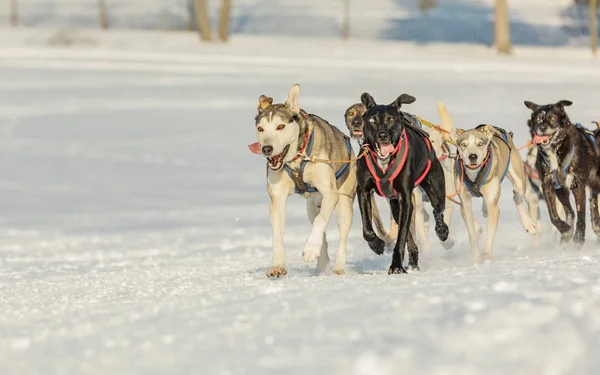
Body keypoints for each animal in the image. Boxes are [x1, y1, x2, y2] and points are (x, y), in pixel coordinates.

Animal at [248, 83, 356, 278]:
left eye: (280, 126)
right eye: (260, 129)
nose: (266, 149)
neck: (296, 160)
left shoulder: (330, 193)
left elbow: (322, 220)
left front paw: (311, 250)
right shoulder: (277, 200)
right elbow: (277, 236)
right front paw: (277, 266)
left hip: (344, 203)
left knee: (340, 238)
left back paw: (337, 267)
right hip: (312, 207)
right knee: (322, 233)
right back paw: (321, 264)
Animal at [524, 100, 600, 248]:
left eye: (553, 118)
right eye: (538, 118)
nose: (542, 127)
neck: (556, 150)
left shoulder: (578, 186)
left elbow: (581, 214)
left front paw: (579, 238)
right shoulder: (548, 185)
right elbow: (553, 216)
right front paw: (566, 230)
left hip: (594, 181)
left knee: (592, 199)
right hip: (561, 191)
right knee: (570, 211)